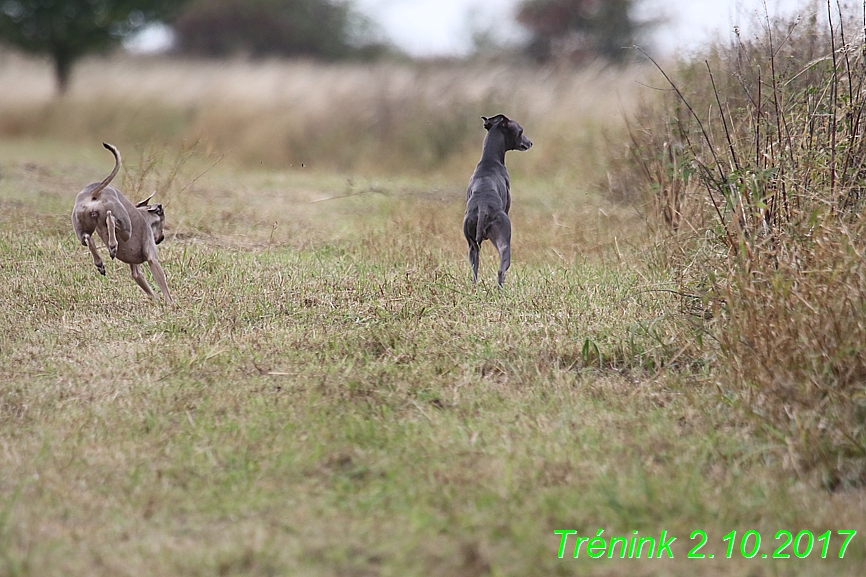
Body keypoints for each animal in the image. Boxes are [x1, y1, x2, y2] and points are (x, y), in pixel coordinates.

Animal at [71, 142, 173, 304]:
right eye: (163, 220)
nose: (162, 238)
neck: (144, 215)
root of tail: (94, 193)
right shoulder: (152, 258)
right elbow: (164, 286)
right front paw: (171, 304)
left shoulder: (136, 271)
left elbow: (140, 279)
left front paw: (157, 301)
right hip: (126, 228)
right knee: (110, 219)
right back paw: (112, 245)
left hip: (81, 228)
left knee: (88, 238)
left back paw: (100, 263)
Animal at [462, 113, 528, 284]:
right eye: (521, 131)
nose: (529, 142)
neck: (489, 160)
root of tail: (483, 207)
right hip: (504, 242)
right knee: (501, 270)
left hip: (472, 247)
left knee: (474, 273)